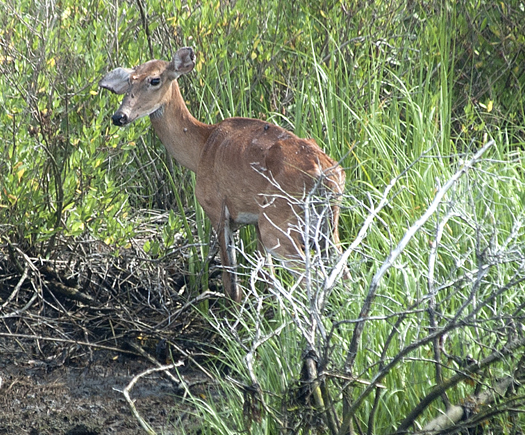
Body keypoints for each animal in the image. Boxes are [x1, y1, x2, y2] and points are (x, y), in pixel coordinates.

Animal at [99, 45, 346, 304]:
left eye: (155, 79)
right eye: (130, 81)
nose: (119, 117)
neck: (201, 148)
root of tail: (324, 171)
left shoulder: (216, 207)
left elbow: (233, 285)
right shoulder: (254, 222)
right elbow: (269, 281)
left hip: (279, 221)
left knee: (314, 276)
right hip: (326, 223)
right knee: (343, 270)